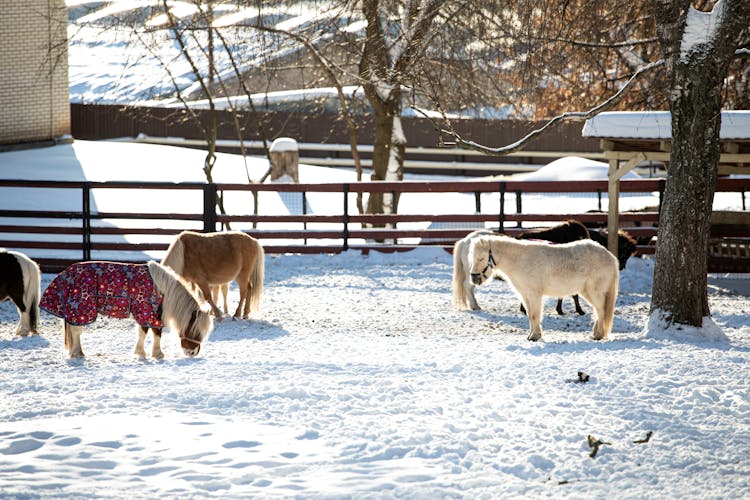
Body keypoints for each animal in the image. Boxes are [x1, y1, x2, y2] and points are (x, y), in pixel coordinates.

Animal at [40, 260, 213, 358]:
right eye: (195, 330)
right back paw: (78, 354)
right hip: (81, 310)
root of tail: (64, 273)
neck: (162, 289)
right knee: (76, 331)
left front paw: (149, 353)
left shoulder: (152, 313)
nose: (193, 353)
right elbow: (151, 332)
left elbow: (150, 332)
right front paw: (151, 354)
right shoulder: (147, 312)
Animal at [470, 234, 624, 340]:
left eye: (481, 258)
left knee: (601, 310)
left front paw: (535, 337)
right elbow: (530, 315)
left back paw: (598, 335)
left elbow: (534, 314)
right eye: (472, 258)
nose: (474, 278)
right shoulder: (526, 295)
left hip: (595, 291)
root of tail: (610, 256)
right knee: (598, 311)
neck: (520, 261)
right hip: (587, 292)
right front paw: (532, 335)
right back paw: (596, 333)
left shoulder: (534, 295)